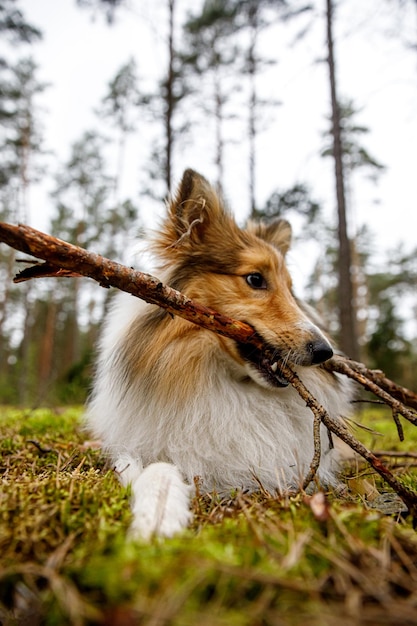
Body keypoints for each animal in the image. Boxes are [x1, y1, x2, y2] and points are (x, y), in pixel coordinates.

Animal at [87, 168, 352, 540]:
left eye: (291, 289)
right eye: (255, 279)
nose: (324, 352)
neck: (222, 381)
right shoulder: (138, 448)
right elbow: (158, 467)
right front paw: (158, 518)